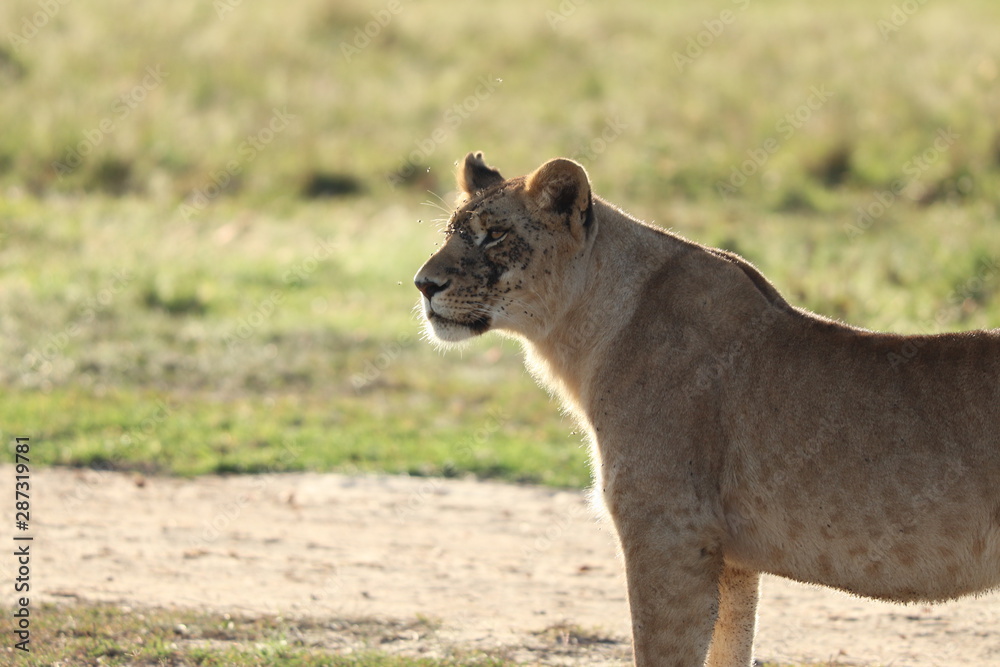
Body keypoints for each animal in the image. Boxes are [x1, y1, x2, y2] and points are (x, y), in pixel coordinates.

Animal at [413, 152, 1000, 667]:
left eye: (495, 235)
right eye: (449, 233)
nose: (423, 284)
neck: (589, 329)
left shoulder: (669, 535)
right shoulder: (731, 561)